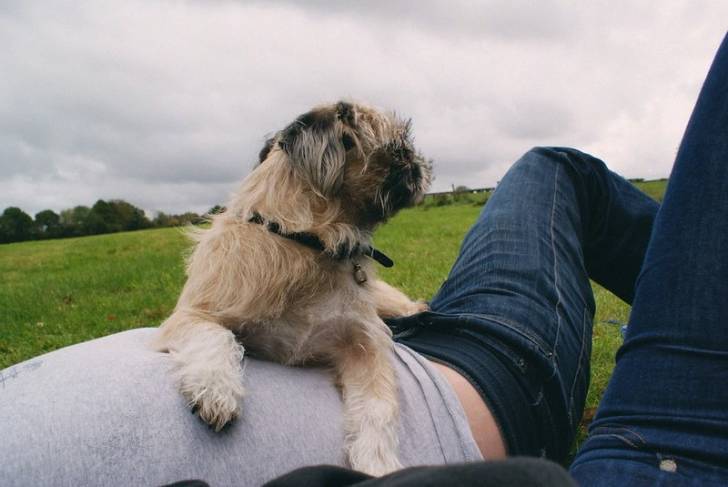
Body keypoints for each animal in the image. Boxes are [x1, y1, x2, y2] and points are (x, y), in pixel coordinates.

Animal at [152, 100, 432, 476]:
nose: (421, 164)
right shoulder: (189, 316)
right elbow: (214, 334)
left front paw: (378, 463)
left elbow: (378, 405)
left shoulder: (365, 342)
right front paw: (215, 389)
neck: (308, 243)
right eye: (400, 149)